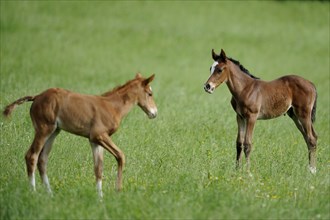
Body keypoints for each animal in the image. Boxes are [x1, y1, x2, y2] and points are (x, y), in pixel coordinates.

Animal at [2, 73, 157, 197]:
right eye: (150, 94)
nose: (154, 113)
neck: (112, 106)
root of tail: (37, 97)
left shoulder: (94, 141)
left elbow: (98, 168)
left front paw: (100, 198)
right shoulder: (99, 135)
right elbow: (121, 156)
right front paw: (117, 191)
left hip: (53, 132)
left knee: (42, 159)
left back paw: (50, 194)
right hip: (43, 129)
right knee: (31, 156)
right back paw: (33, 192)